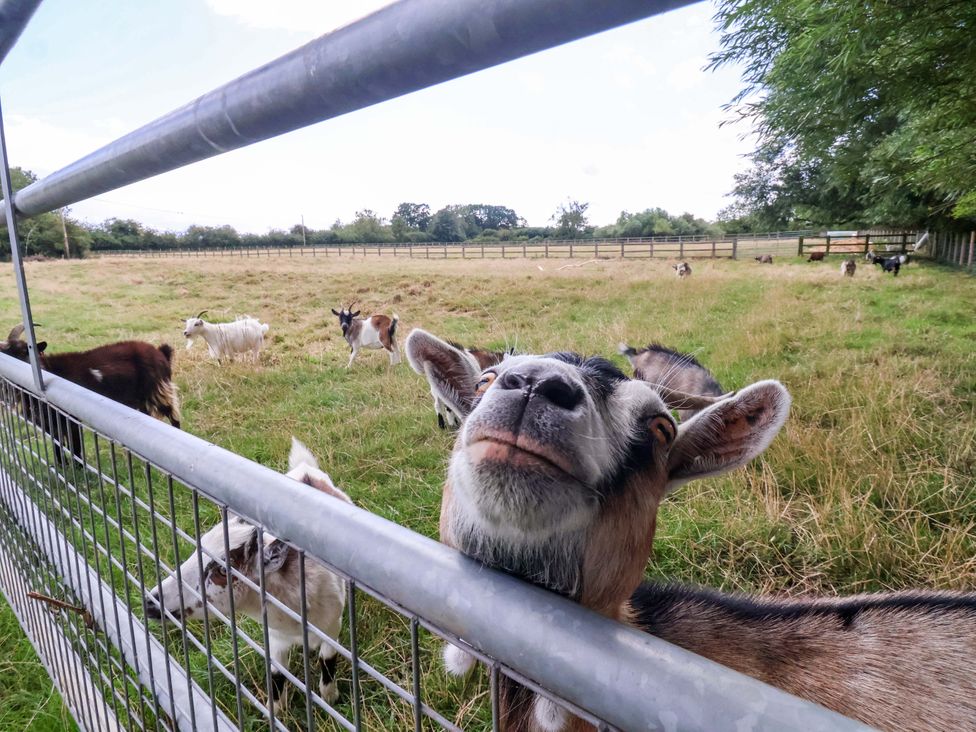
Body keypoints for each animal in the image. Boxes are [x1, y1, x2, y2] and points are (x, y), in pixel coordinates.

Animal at [0, 324, 181, 459]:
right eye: (5, 353)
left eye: (25, 351)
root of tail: (160, 351)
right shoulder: (52, 420)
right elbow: (58, 446)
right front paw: (62, 468)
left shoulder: (70, 416)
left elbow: (75, 446)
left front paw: (78, 469)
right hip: (140, 398)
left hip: (158, 389)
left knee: (174, 416)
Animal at [146, 438, 351, 705]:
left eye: (222, 570)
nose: (150, 602)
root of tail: (305, 468)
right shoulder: (275, 637)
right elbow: (277, 676)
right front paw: (277, 707)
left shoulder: (332, 626)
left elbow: (327, 661)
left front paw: (330, 698)